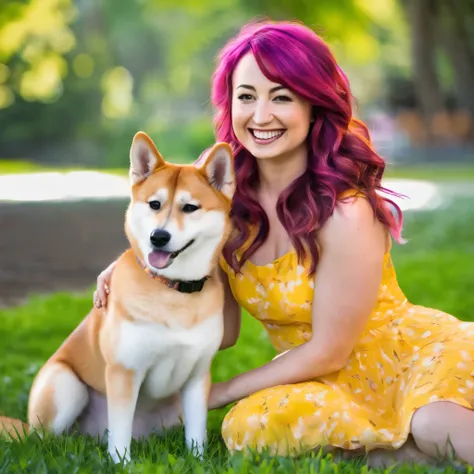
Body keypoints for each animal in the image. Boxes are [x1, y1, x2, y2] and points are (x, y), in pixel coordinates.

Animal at [0, 132, 235, 462]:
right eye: (154, 204)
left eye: (190, 207)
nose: (158, 237)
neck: (171, 289)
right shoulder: (125, 371)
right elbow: (120, 433)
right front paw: (121, 463)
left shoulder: (197, 376)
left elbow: (196, 433)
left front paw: (198, 461)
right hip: (65, 385)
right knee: (42, 441)